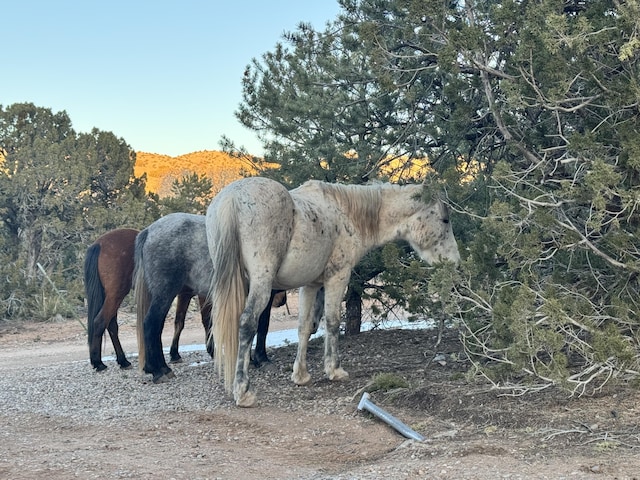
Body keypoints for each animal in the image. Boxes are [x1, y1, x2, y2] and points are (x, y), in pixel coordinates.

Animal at [205, 178, 460, 406]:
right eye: (445, 220)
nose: (455, 263)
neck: (346, 213)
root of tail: (231, 197)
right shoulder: (337, 278)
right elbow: (333, 322)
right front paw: (334, 370)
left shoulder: (310, 286)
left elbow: (305, 327)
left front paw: (301, 375)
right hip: (260, 283)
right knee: (247, 323)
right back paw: (243, 392)